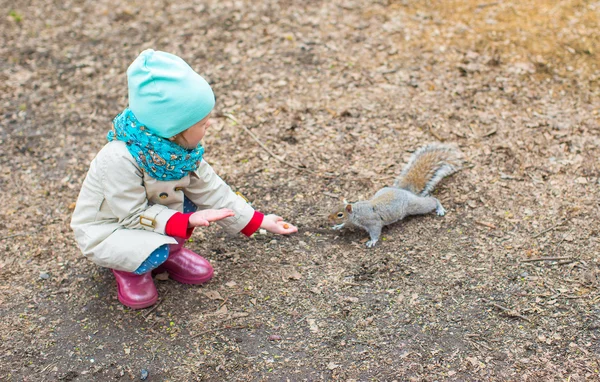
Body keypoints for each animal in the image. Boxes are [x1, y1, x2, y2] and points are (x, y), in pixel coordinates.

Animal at [330, 144, 462, 248]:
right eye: (333, 208)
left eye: (340, 214)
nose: (328, 219)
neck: (356, 212)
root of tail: (404, 191)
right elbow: (346, 224)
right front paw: (338, 226)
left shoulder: (373, 222)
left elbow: (375, 232)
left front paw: (372, 241)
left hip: (414, 206)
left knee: (432, 201)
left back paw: (440, 208)